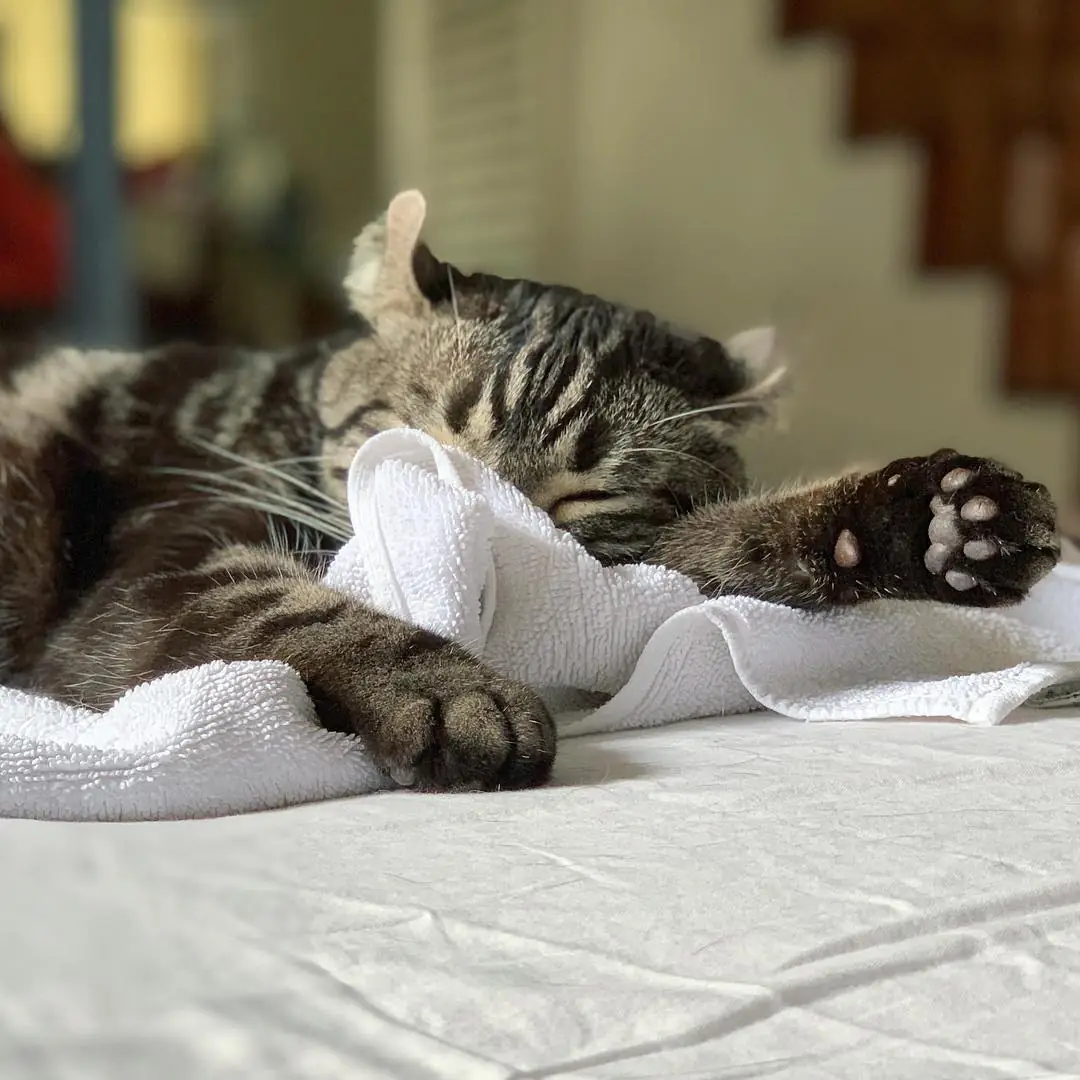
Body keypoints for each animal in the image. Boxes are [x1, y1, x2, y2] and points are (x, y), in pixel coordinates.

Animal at [0, 190, 1059, 792]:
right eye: (425, 443)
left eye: (585, 497)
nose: (479, 519)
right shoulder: (164, 575)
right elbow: (302, 609)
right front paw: (454, 696)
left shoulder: (617, 572)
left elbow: (737, 539)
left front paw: (931, 521)